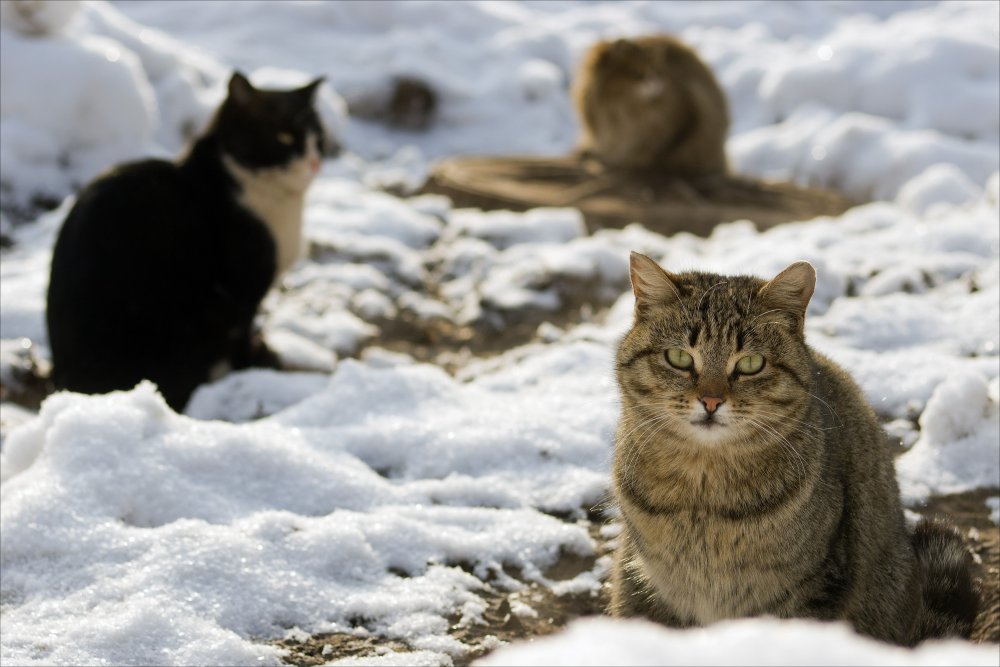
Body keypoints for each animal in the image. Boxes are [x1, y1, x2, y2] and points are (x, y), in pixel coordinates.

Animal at [45, 70, 326, 410]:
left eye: (318, 138)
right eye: (283, 137)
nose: (314, 162)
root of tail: (71, 387)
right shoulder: (244, 287)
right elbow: (244, 331)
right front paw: (255, 360)